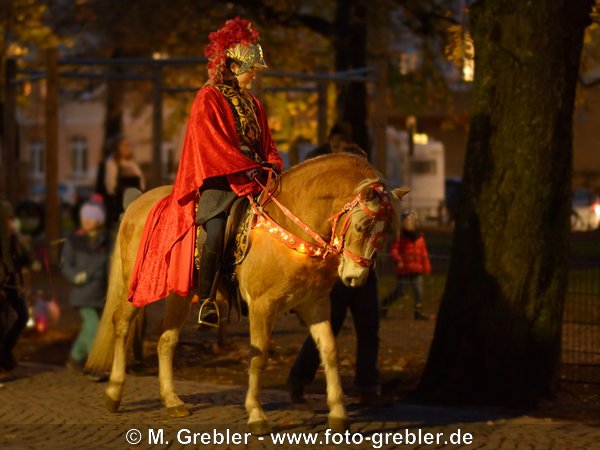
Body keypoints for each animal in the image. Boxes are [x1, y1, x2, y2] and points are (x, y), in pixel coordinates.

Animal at [86, 153, 406, 434]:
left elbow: (329, 351)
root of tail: (136, 203)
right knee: (121, 324)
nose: (356, 277)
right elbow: (259, 355)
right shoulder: (262, 306)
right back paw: (114, 392)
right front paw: (256, 414)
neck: (290, 228)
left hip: (180, 293)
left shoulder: (315, 304)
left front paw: (338, 413)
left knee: (166, 340)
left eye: (388, 230)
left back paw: (172, 400)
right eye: (363, 226)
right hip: (136, 286)